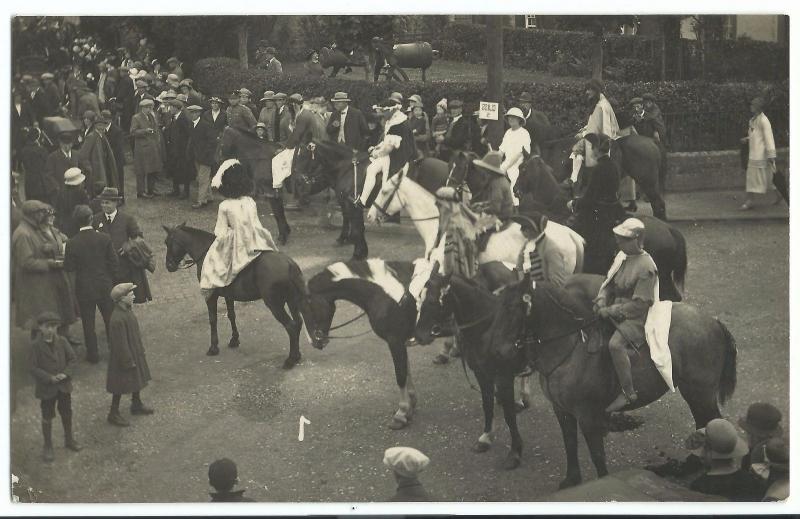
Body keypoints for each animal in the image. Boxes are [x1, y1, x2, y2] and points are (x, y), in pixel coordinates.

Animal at [163, 223, 310, 370]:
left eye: (167, 242)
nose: (169, 266)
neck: (207, 253)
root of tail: (290, 264)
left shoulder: (210, 296)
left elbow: (213, 319)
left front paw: (213, 347)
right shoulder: (229, 296)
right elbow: (231, 315)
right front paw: (234, 339)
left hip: (275, 305)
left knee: (291, 326)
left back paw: (290, 360)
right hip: (292, 301)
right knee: (298, 323)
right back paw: (297, 356)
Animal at [304, 260, 422, 430]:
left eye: (307, 306)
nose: (314, 341)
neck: (389, 296)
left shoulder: (394, 341)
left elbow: (400, 375)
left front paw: (401, 413)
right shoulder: (400, 341)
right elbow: (407, 371)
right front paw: (411, 405)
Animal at [488, 274, 736, 490]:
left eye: (512, 307)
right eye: (497, 306)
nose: (496, 350)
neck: (571, 349)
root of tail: (713, 321)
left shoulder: (588, 416)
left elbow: (597, 456)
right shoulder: (562, 410)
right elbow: (570, 443)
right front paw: (571, 480)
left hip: (701, 393)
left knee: (712, 423)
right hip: (693, 393)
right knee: (702, 423)